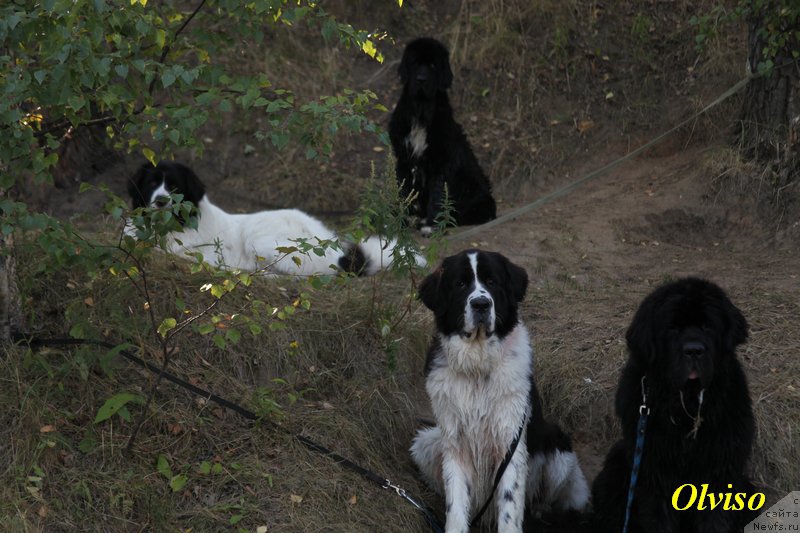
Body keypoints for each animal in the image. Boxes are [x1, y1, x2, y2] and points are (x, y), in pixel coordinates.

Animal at [388, 37, 494, 235]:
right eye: (415, 64)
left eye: (433, 65)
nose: (421, 79)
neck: (421, 112)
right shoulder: (404, 159)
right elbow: (404, 191)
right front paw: (403, 219)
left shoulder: (441, 161)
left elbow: (438, 192)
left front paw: (432, 224)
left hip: (480, 198)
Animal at [412, 250, 588, 532]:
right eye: (460, 284)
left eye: (492, 282)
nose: (481, 304)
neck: (478, 367)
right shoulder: (455, 445)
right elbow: (456, 506)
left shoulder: (510, 444)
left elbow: (509, 507)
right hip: (426, 443)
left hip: (557, 445)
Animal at [592, 278, 756, 532]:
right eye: (672, 329)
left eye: (707, 326)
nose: (694, 350)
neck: (685, 403)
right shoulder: (655, 468)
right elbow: (659, 516)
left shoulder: (721, 464)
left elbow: (715, 518)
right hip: (616, 468)